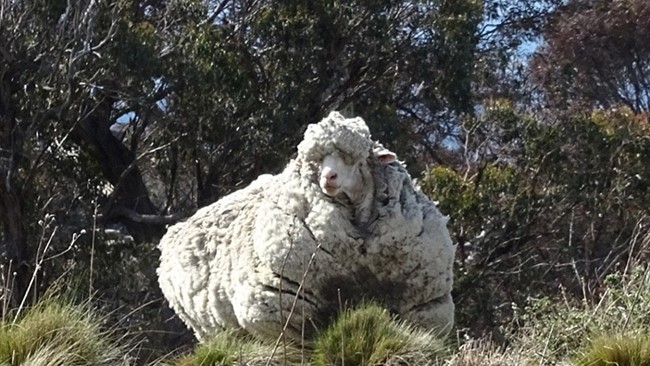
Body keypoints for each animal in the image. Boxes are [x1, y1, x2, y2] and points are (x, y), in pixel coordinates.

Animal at [155, 111, 454, 344]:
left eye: (356, 159)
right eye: (316, 161)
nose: (328, 177)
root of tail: (170, 234)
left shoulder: (423, 307)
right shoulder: (286, 311)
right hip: (211, 330)